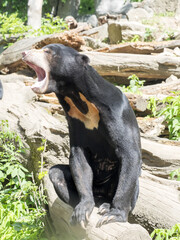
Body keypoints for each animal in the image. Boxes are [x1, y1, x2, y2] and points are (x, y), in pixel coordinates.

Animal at [22, 44, 141, 228]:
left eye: (48, 51)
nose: (24, 53)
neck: (79, 101)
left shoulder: (117, 113)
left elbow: (129, 153)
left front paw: (114, 215)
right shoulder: (74, 120)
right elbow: (79, 159)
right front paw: (83, 209)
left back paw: (106, 206)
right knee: (56, 173)